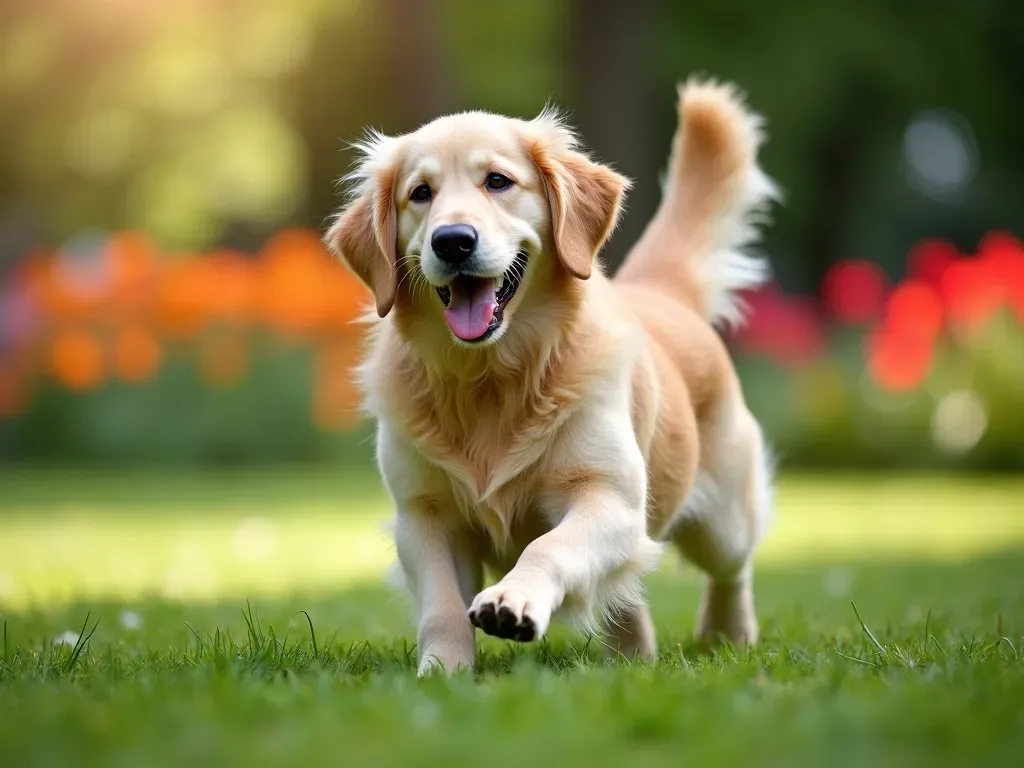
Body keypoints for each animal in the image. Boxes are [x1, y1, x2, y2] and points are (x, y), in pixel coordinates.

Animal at [325, 81, 774, 675]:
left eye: (498, 181)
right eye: (420, 193)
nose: (452, 240)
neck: (491, 377)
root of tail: (661, 292)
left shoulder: (611, 499)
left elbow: (547, 547)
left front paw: (511, 601)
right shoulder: (423, 515)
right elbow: (441, 606)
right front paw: (442, 671)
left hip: (722, 517)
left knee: (733, 567)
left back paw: (729, 632)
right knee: (626, 596)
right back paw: (634, 655)